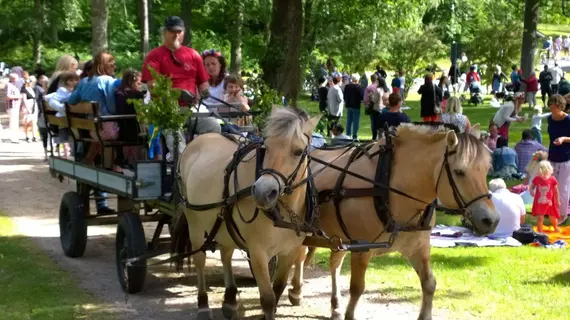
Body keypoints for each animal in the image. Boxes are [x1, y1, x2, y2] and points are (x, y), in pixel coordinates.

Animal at [169, 107, 320, 320]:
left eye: (298, 151)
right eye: (266, 147)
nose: (263, 192)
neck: (283, 211)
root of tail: (198, 140)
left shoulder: (290, 251)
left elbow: (278, 288)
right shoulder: (257, 253)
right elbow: (268, 299)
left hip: (223, 223)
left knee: (225, 253)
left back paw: (230, 299)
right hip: (194, 220)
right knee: (200, 259)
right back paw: (203, 304)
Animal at [258, 121, 496, 318]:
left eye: (486, 169)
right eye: (459, 172)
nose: (491, 220)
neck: (389, 184)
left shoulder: (417, 248)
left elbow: (429, 283)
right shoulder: (361, 248)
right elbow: (357, 288)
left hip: (336, 236)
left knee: (332, 263)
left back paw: (333, 304)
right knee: (299, 256)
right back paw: (296, 291)